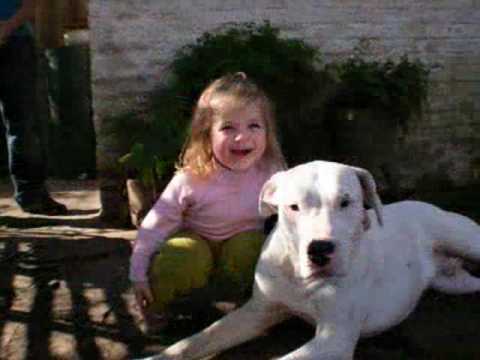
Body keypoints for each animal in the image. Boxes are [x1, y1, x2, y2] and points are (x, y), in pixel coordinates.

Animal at [142, 161, 480, 360]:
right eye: (293, 207)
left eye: (346, 202)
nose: (320, 249)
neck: (297, 274)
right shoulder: (257, 312)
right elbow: (195, 341)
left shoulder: (333, 339)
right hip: (455, 283)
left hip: (464, 238)